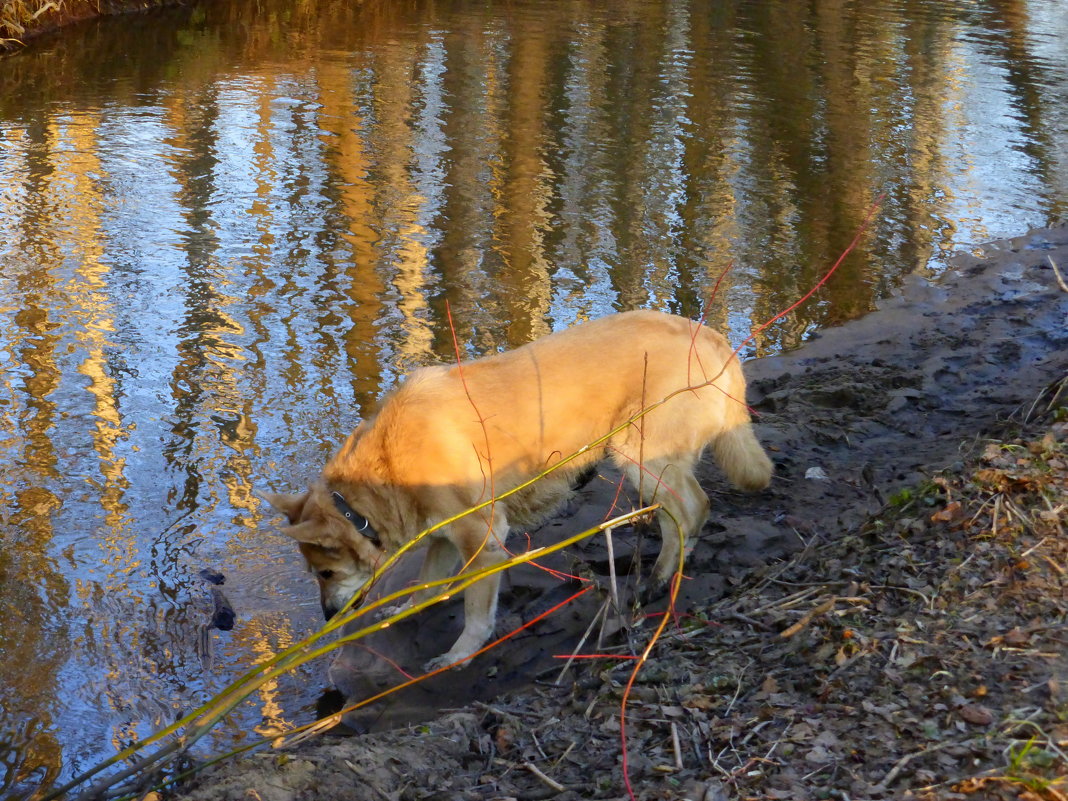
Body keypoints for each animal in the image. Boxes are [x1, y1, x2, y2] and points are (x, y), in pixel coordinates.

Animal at [262, 309, 773, 674]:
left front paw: (458, 656)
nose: (328, 617)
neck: (386, 465)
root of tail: (715, 339)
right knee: (676, 515)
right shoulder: (443, 536)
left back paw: (661, 581)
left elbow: (475, 613)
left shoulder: (482, 540)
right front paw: (404, 610)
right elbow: (428, 585)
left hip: (641, 455)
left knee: (693, 509)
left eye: (325, 573)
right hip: (649, 465)